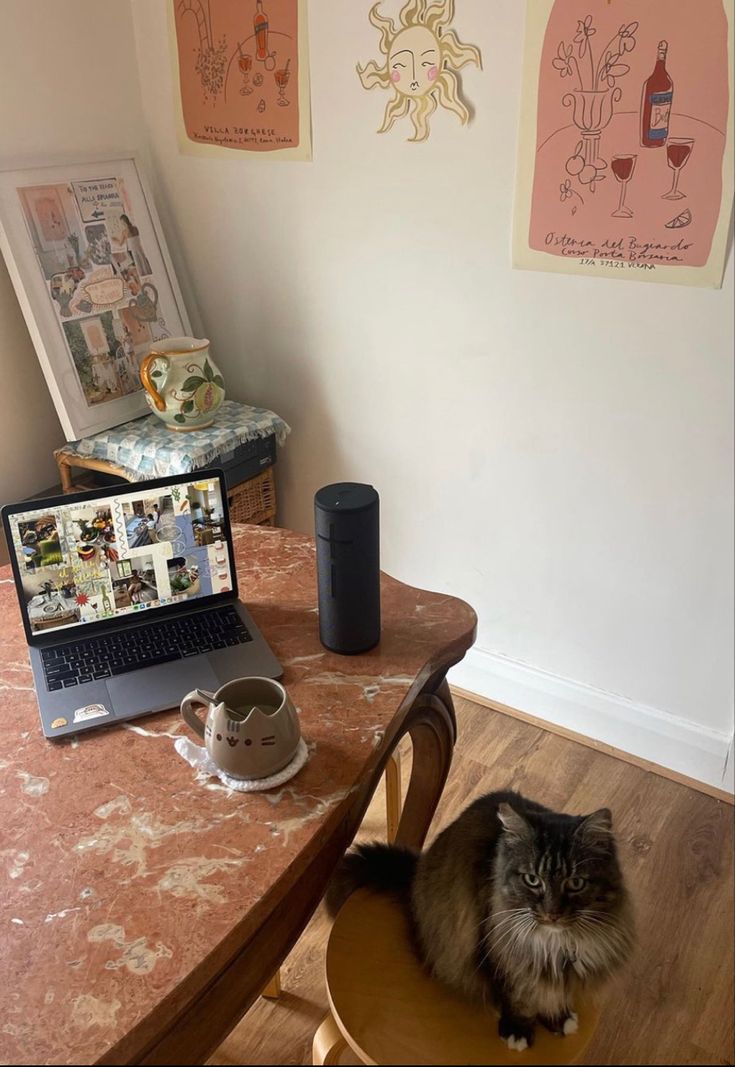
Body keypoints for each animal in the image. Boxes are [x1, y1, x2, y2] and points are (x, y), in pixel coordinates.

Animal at [326, 793, 631, 1049]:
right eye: (532, 880)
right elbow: (519, 997)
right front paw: (518, 1030)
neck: (553, 943)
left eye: (576, 883)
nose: (552, 912)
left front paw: (558, 1018)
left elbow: (554, 994)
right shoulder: (498, 952)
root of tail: (414, 876)